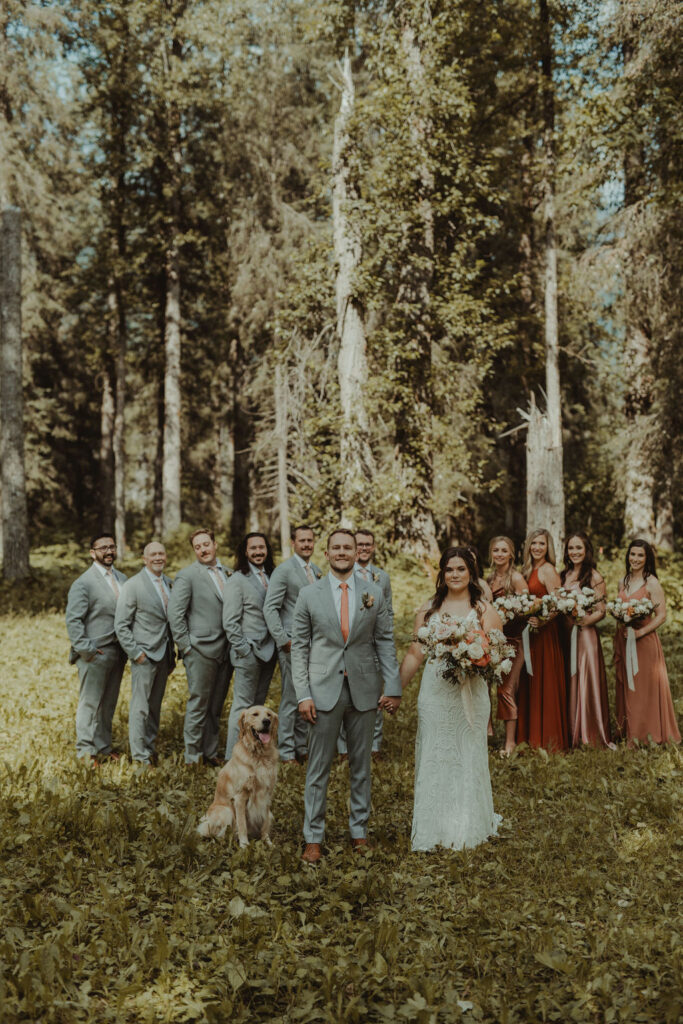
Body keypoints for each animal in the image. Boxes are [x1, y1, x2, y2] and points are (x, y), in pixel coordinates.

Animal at [197, 708, 280, 843]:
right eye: (255, 714)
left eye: (269, 715)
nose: (266, 722)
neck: (259, 755)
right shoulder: (240, 797)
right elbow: (242, 825)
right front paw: (244, 844)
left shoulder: (267, 794)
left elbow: (265, 823)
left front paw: (267, 841)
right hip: (226, 811)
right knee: (217, 833)